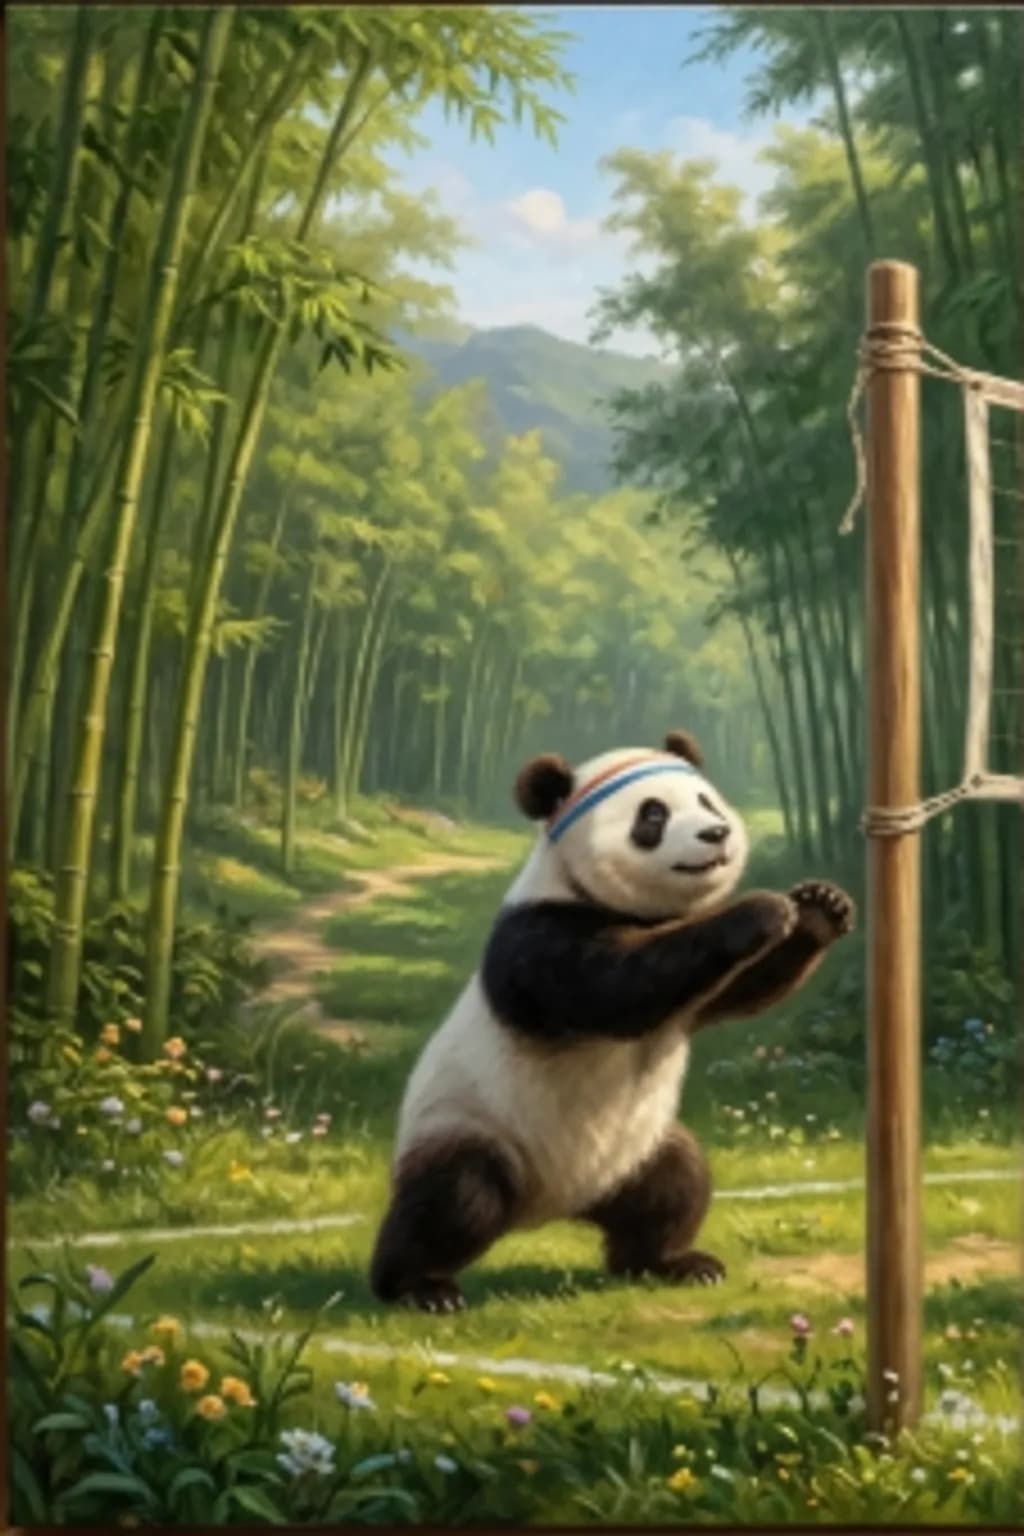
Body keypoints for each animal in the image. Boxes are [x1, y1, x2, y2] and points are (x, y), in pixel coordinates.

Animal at [369, 730, 855, 1312]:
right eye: (653, 815)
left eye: (707, 801)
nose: (716, 833)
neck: (588, 892)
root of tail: (552, 1205)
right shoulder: (536, 938)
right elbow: (615, 985)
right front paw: (757, 911)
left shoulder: (689, 994)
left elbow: (739, 990)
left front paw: (821, 907)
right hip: (473, 1125)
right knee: (454, 1196)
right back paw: (420, 1287)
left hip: (636, 1150)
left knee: (675, 1185)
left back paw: (674, 1263)